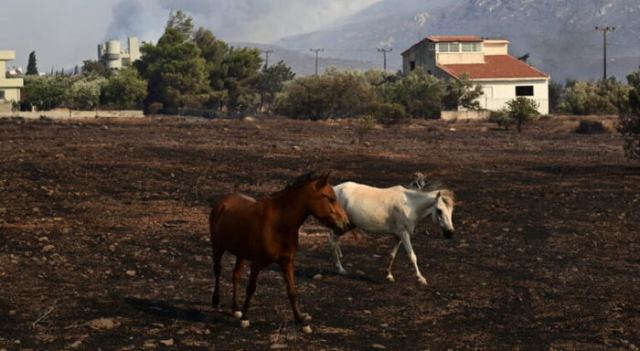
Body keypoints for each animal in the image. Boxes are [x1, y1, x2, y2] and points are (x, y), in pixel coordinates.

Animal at [209, 170, 350, 332]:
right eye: (331, 198)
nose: (346, 224)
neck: (278, 223)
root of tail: (222, 202)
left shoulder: (286, 261)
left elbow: (292, 291)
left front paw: (302, 321)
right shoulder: (257, 263)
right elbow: (251, 288)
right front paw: (245, 318)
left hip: (241, 254)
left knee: (236, 276)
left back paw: (236, 308)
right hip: (218, 247)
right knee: (218, 270)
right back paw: (217, 300)